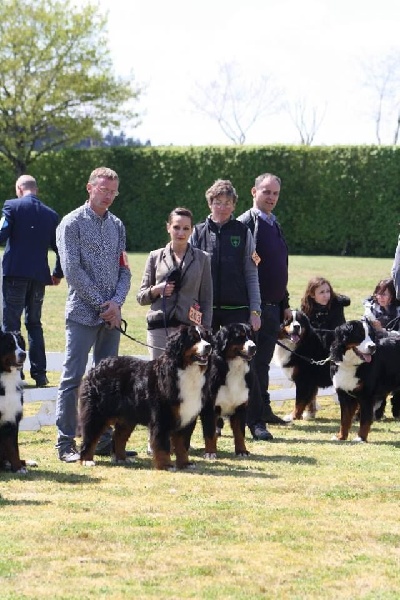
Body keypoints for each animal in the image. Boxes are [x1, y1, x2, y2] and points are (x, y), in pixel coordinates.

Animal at [79, 326, 214, 472]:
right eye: (194, 339)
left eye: (206, 337)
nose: (208, 346)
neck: (186, 371)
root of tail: (97, 367)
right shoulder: (162, 417)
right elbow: (162, 445)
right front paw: (166, 465)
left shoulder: (187, 417)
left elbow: (182, 445)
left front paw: (185, 464)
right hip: (98, 414)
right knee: (90, 437)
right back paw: (87, 460)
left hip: (128, 417)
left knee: (119, 437)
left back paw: (122, 458)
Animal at [191, 324, 256, 460]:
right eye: (240, 337)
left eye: (251, 336)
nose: (253, 347)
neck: (235, 369)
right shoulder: (210, 408)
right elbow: (210, 433)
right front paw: (210, 452)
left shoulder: (241, 407)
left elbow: (240, 433)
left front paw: (242, 451)